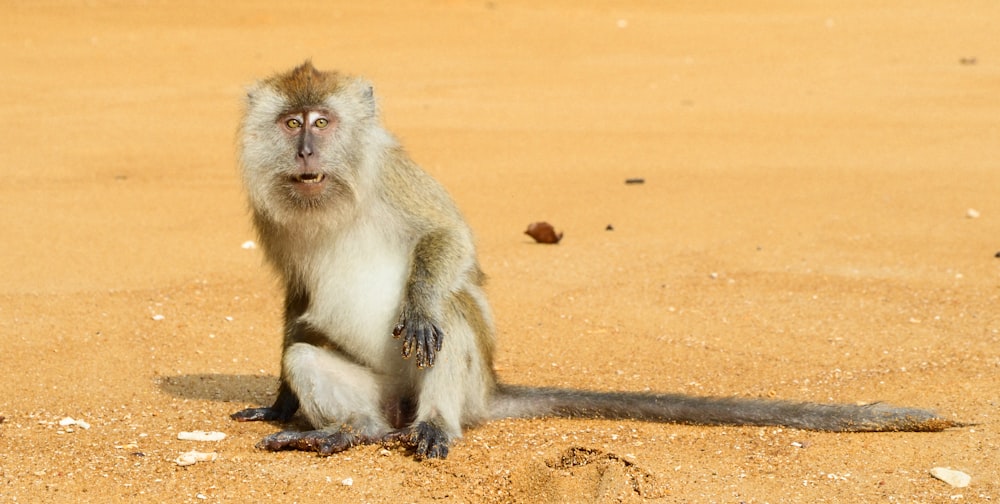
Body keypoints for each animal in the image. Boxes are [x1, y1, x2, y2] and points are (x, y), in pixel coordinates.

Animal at [230, 61, 964, 458]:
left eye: (322, 122)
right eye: (290, 123)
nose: (305, 151)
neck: (336, 195)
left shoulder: (393, 175)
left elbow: (450, 239)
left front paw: (418, 305)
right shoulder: (270, 217)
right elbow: (296, 305)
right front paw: (280, 405)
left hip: (460, 384)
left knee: (456, 313)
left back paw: (433, 421)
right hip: (387, 395)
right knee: (312, 356)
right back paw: (350, 431)